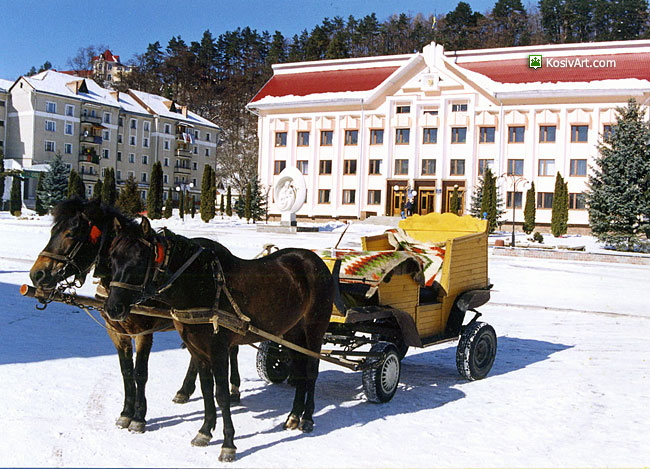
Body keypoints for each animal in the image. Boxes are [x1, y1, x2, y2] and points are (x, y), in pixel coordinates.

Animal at [27, 197, 239, 432]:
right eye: (53, 231)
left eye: (70, 234)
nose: (37, 274)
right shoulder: (116, 332)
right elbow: (126, 371)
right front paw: (126, 413)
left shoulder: (142, 332)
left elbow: (140, 373)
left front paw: (139, 417)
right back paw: (185, 390)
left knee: (232, 348)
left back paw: (233, 388)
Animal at [104, 218, 334, 462]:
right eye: (112, 257)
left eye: (139, 260)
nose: (113, 308)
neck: (202, 284)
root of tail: (315, 261)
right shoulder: (198, 350)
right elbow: (206, 391)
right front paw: (204, 432)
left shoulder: (218, 350)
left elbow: (221, 395)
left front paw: (228, 445)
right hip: (292, 332)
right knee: (299, 370)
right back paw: (293, 416)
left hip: (314, 329)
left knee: (311, 371)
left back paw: (307, 418)